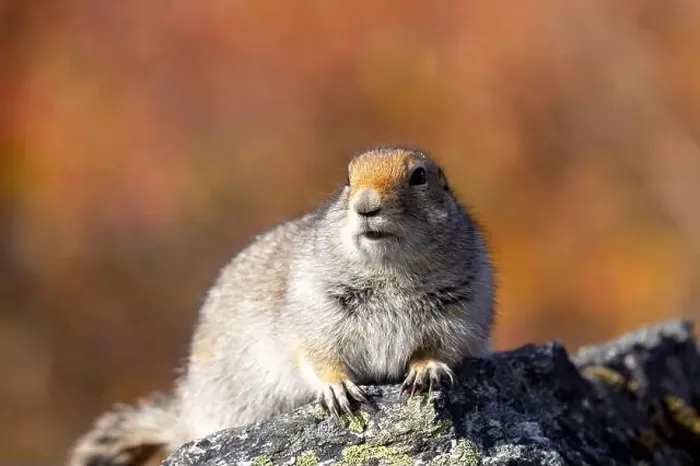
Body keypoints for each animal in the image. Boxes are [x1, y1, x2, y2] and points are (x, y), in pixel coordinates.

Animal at [67, 146, 495, 466]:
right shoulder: (313, 309)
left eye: (419, 177)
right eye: (347, 179)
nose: (365, 206)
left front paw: (427, 370)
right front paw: (338, 389)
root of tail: (183, 418)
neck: (388, 271)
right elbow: (316, 354)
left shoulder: (462, 306)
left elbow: (443, 346)